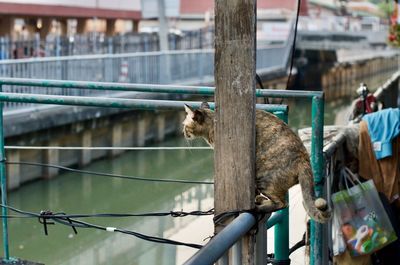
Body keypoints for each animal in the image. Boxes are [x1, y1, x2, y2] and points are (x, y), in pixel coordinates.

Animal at [183, 102, 330, 222]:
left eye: (184, 126)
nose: (183, 132)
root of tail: (304, 159)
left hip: (264, 179)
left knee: (282, 203)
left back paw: (258, 207)